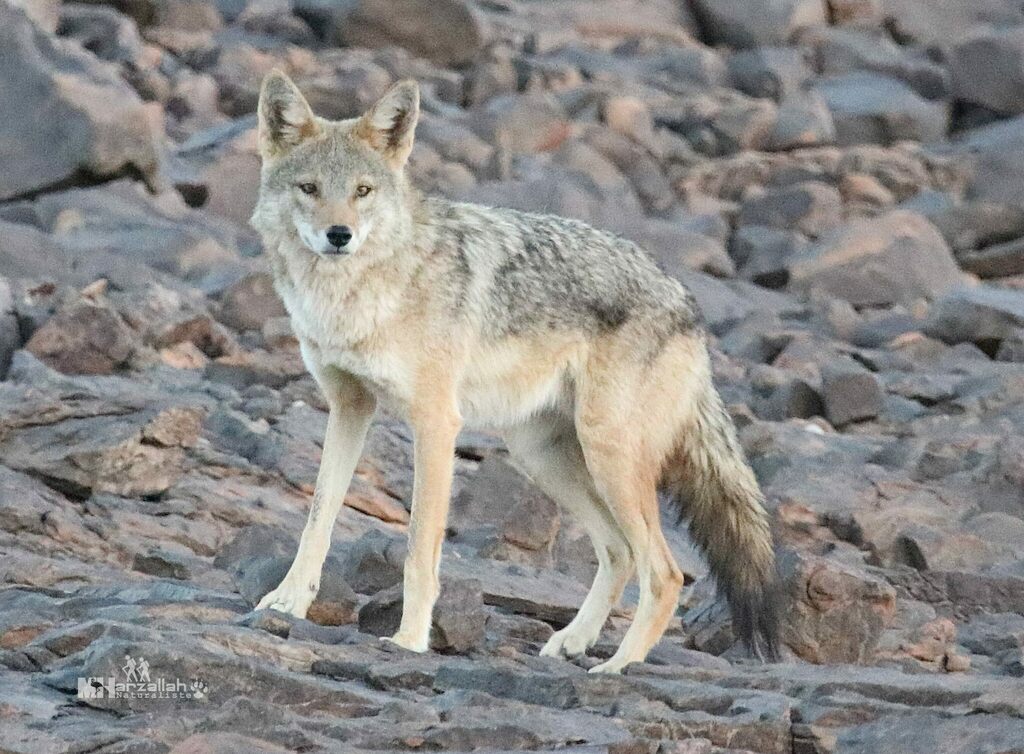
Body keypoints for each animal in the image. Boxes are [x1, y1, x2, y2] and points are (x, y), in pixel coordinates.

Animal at [250, 70, 781, 673]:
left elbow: (419, 547)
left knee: (665, 573)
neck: (358, 296)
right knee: (620, 552)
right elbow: (317, 520)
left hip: (607, 455)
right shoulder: (349, 408)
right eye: (309, 189)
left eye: (363, 191)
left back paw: (616, 667)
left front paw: (409, 639)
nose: (339, 235)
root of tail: (687, 302)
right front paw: (287, 603)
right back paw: (571, 642)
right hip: (542, 456)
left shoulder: (436, 423)